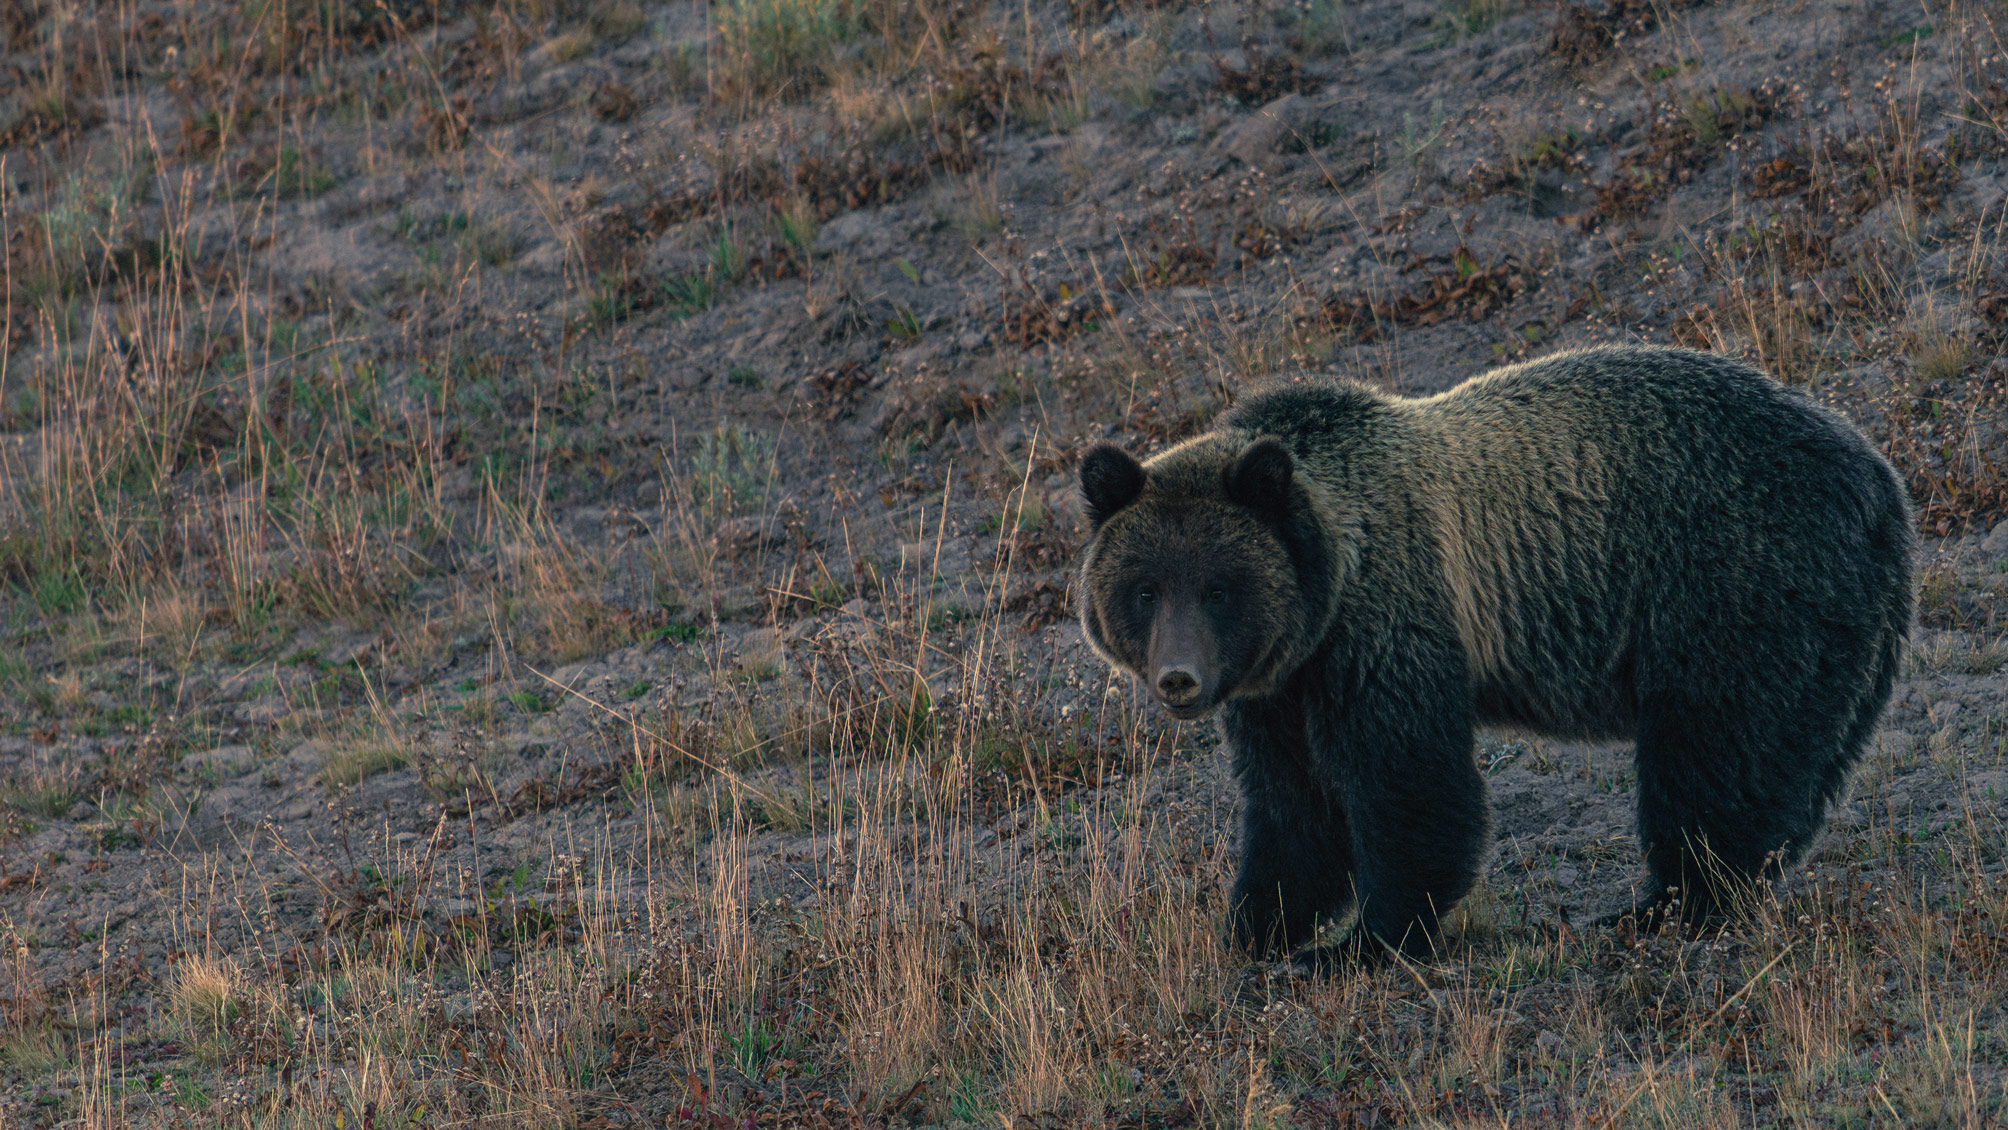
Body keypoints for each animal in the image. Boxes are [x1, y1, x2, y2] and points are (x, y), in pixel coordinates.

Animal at [1074, 346, 1916, 966]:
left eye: (1220, 588)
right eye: (1145, 589)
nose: (1178, 678)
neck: (1331, 579)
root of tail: (1878, 474)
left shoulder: (1388, 626)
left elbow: (1408, 786)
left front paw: (1358, 941)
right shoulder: (1281, 687)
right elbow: (1296, 805)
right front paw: (1253, 928)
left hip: (1734, 582)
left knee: (1717, 753)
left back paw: (1662, 908)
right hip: (1840, 631)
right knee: (1792, 756)